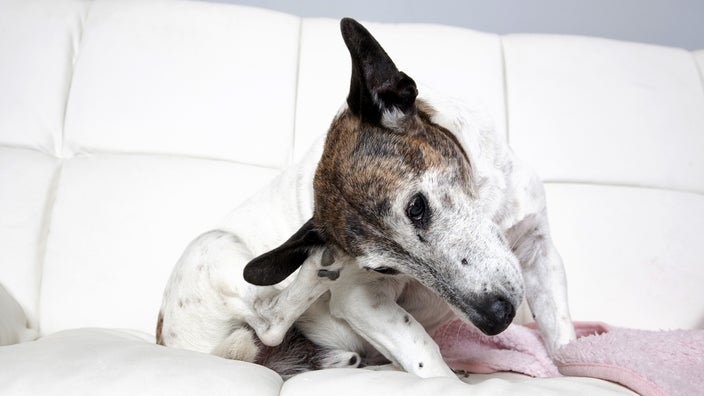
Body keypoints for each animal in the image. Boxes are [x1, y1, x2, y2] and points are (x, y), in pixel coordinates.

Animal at [157, 18, 576, 380]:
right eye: (384, 269)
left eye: (416, 208)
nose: (497, 319)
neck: (486, 200)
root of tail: (173, 343)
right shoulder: (360, 299)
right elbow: (422, 350)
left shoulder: (540, 250)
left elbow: (562, 333)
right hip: (214, 247)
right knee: (268, 324)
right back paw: (315, 269)